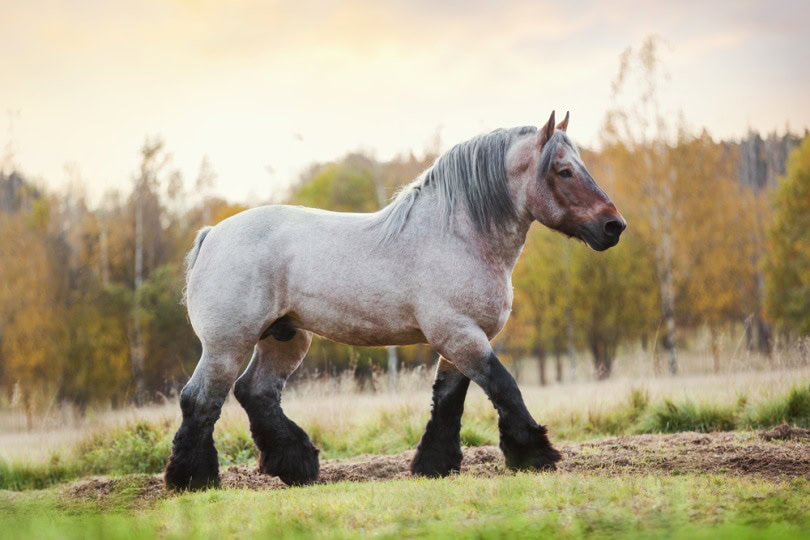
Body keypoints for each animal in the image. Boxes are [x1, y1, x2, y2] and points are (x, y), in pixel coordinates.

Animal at [164, 111, 626, 490]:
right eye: (564, 171)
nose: (614, 226)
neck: (458, 235)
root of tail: (212, 235)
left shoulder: (458, 342)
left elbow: (448, 400)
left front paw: (434, 465)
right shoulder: (460, 335)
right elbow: (504, 387)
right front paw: (535, 454)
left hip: (285, 338)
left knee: (255, 392)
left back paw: (297, 465)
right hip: (227, 346)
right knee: (201, 399)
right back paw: (193, 479)